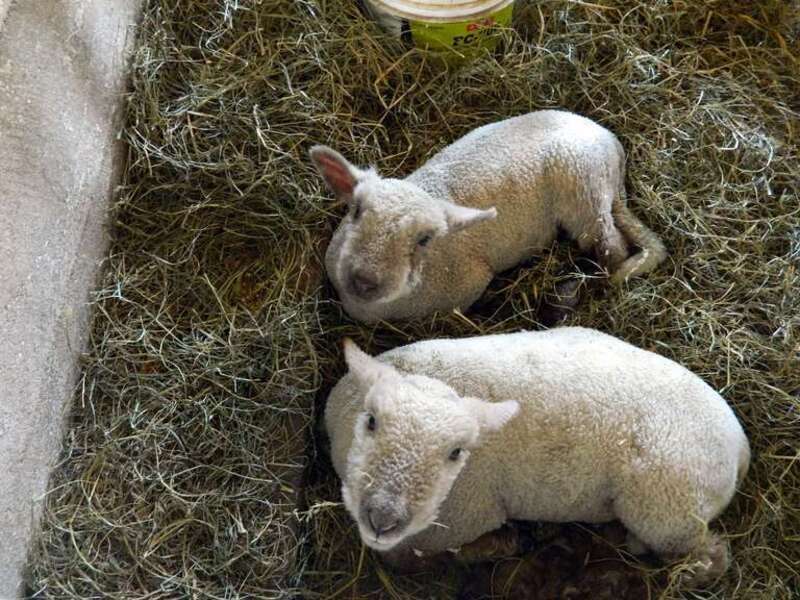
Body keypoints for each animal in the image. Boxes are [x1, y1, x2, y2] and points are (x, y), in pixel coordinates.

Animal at [310, 110, 666, 323]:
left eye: (425, 239)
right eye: (356, 210)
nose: (364, 280)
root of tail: (611, 142)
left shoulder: (471, 283)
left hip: (585, 196)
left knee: (612, 246)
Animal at [324, 328, 750, 586]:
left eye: (456, 453)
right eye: (371, 420)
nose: (383, 519)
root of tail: (739, 443)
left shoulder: (463, 519)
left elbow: (412, 558)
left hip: (669, 508)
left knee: (710, 556)